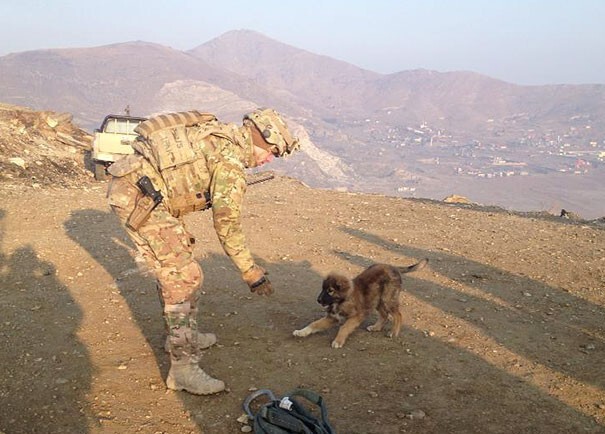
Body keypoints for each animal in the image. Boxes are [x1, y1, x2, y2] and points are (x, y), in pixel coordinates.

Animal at [292, 258, 424, 350]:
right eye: (323, 289)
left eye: (330, 290)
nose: (318, 300)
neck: (341, 301)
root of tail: (394, 267)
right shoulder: (332, 318)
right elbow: (314, 324)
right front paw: (301, 332)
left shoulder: (357, 316)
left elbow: (344, 327)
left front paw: (338, 341)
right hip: (376, 300)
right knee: (384, 315)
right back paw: (376, 327)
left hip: (387, 299)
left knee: (398, 315)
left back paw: (393, 332)